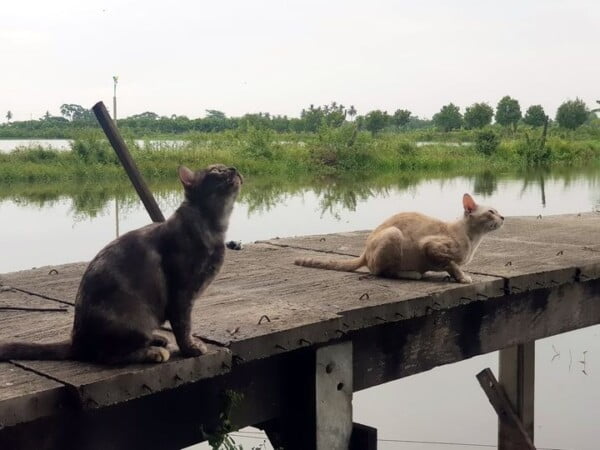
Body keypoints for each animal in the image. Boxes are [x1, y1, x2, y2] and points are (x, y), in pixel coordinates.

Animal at [0, 164, 242, 364]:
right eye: (217, 170)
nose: (233, 168)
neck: (213, 228)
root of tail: (77, 341)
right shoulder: (181, 294)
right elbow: (184, 327)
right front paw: (191, 348)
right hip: (135, 318)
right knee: (108, 357)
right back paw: (154, 352)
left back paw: (157, 339)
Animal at [295, 193, 503, 283]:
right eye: (491, 212)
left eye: (497, 211)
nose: (503, 217)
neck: (473, 240)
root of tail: (364, 252)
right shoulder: (430, 247)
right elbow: (451, 263)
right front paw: (462, 277)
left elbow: (451, 266)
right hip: (393, 234)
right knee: (382, 272)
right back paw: (412, 274)